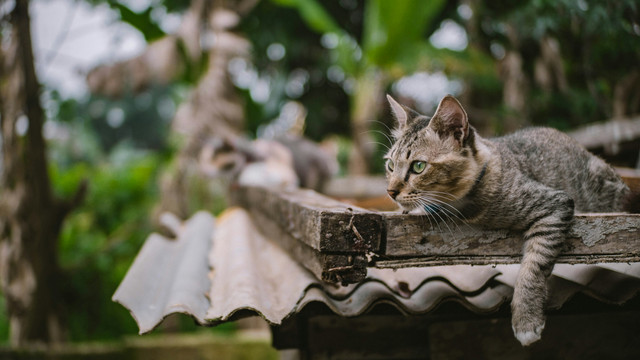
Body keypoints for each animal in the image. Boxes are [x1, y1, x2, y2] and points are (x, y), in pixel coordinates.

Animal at [382, 94, 632, 344]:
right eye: (391, 165)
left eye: (418, 166)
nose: (390, 192)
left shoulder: (554, 204)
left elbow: (533, 266)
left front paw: (526, 318)